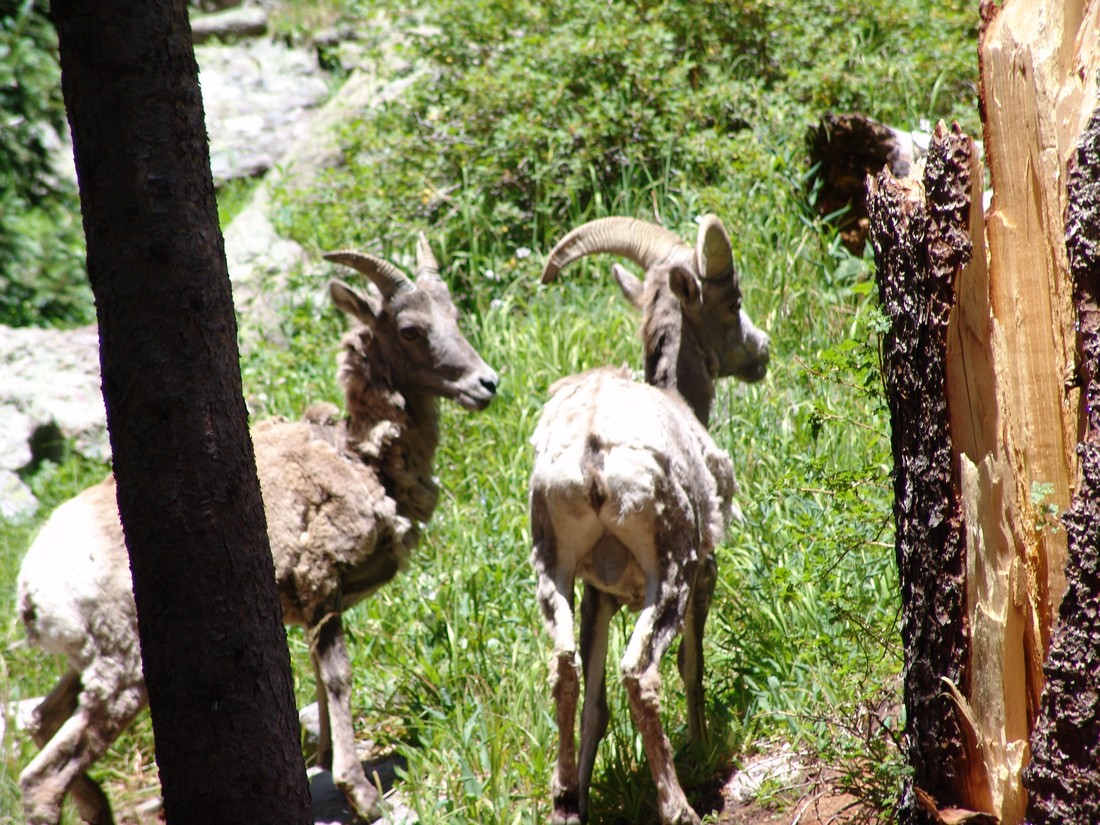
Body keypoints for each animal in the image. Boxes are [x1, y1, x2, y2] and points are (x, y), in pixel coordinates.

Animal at [16, 235, 499, 822]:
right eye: (410, 330)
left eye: (453, 315)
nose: (486, 383)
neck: (359, 458)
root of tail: (34, 588)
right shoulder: (321, 584)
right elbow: (338, 677)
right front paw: (361, 794)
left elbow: (319, 677)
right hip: (123, 672)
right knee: (41, 778)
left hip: (89, 666)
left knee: (40, 721)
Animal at [528, 216, 770, 822]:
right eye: (732, 302)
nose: (761, 351)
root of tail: (593, 453)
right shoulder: (704, 571)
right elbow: (693, 665)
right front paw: (702, 746)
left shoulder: (598, 595)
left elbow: (594, 704)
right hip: (671, 574)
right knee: (642, 674)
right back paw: (678, 806)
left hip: (553, 573)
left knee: (565, 671)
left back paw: (565, 800)